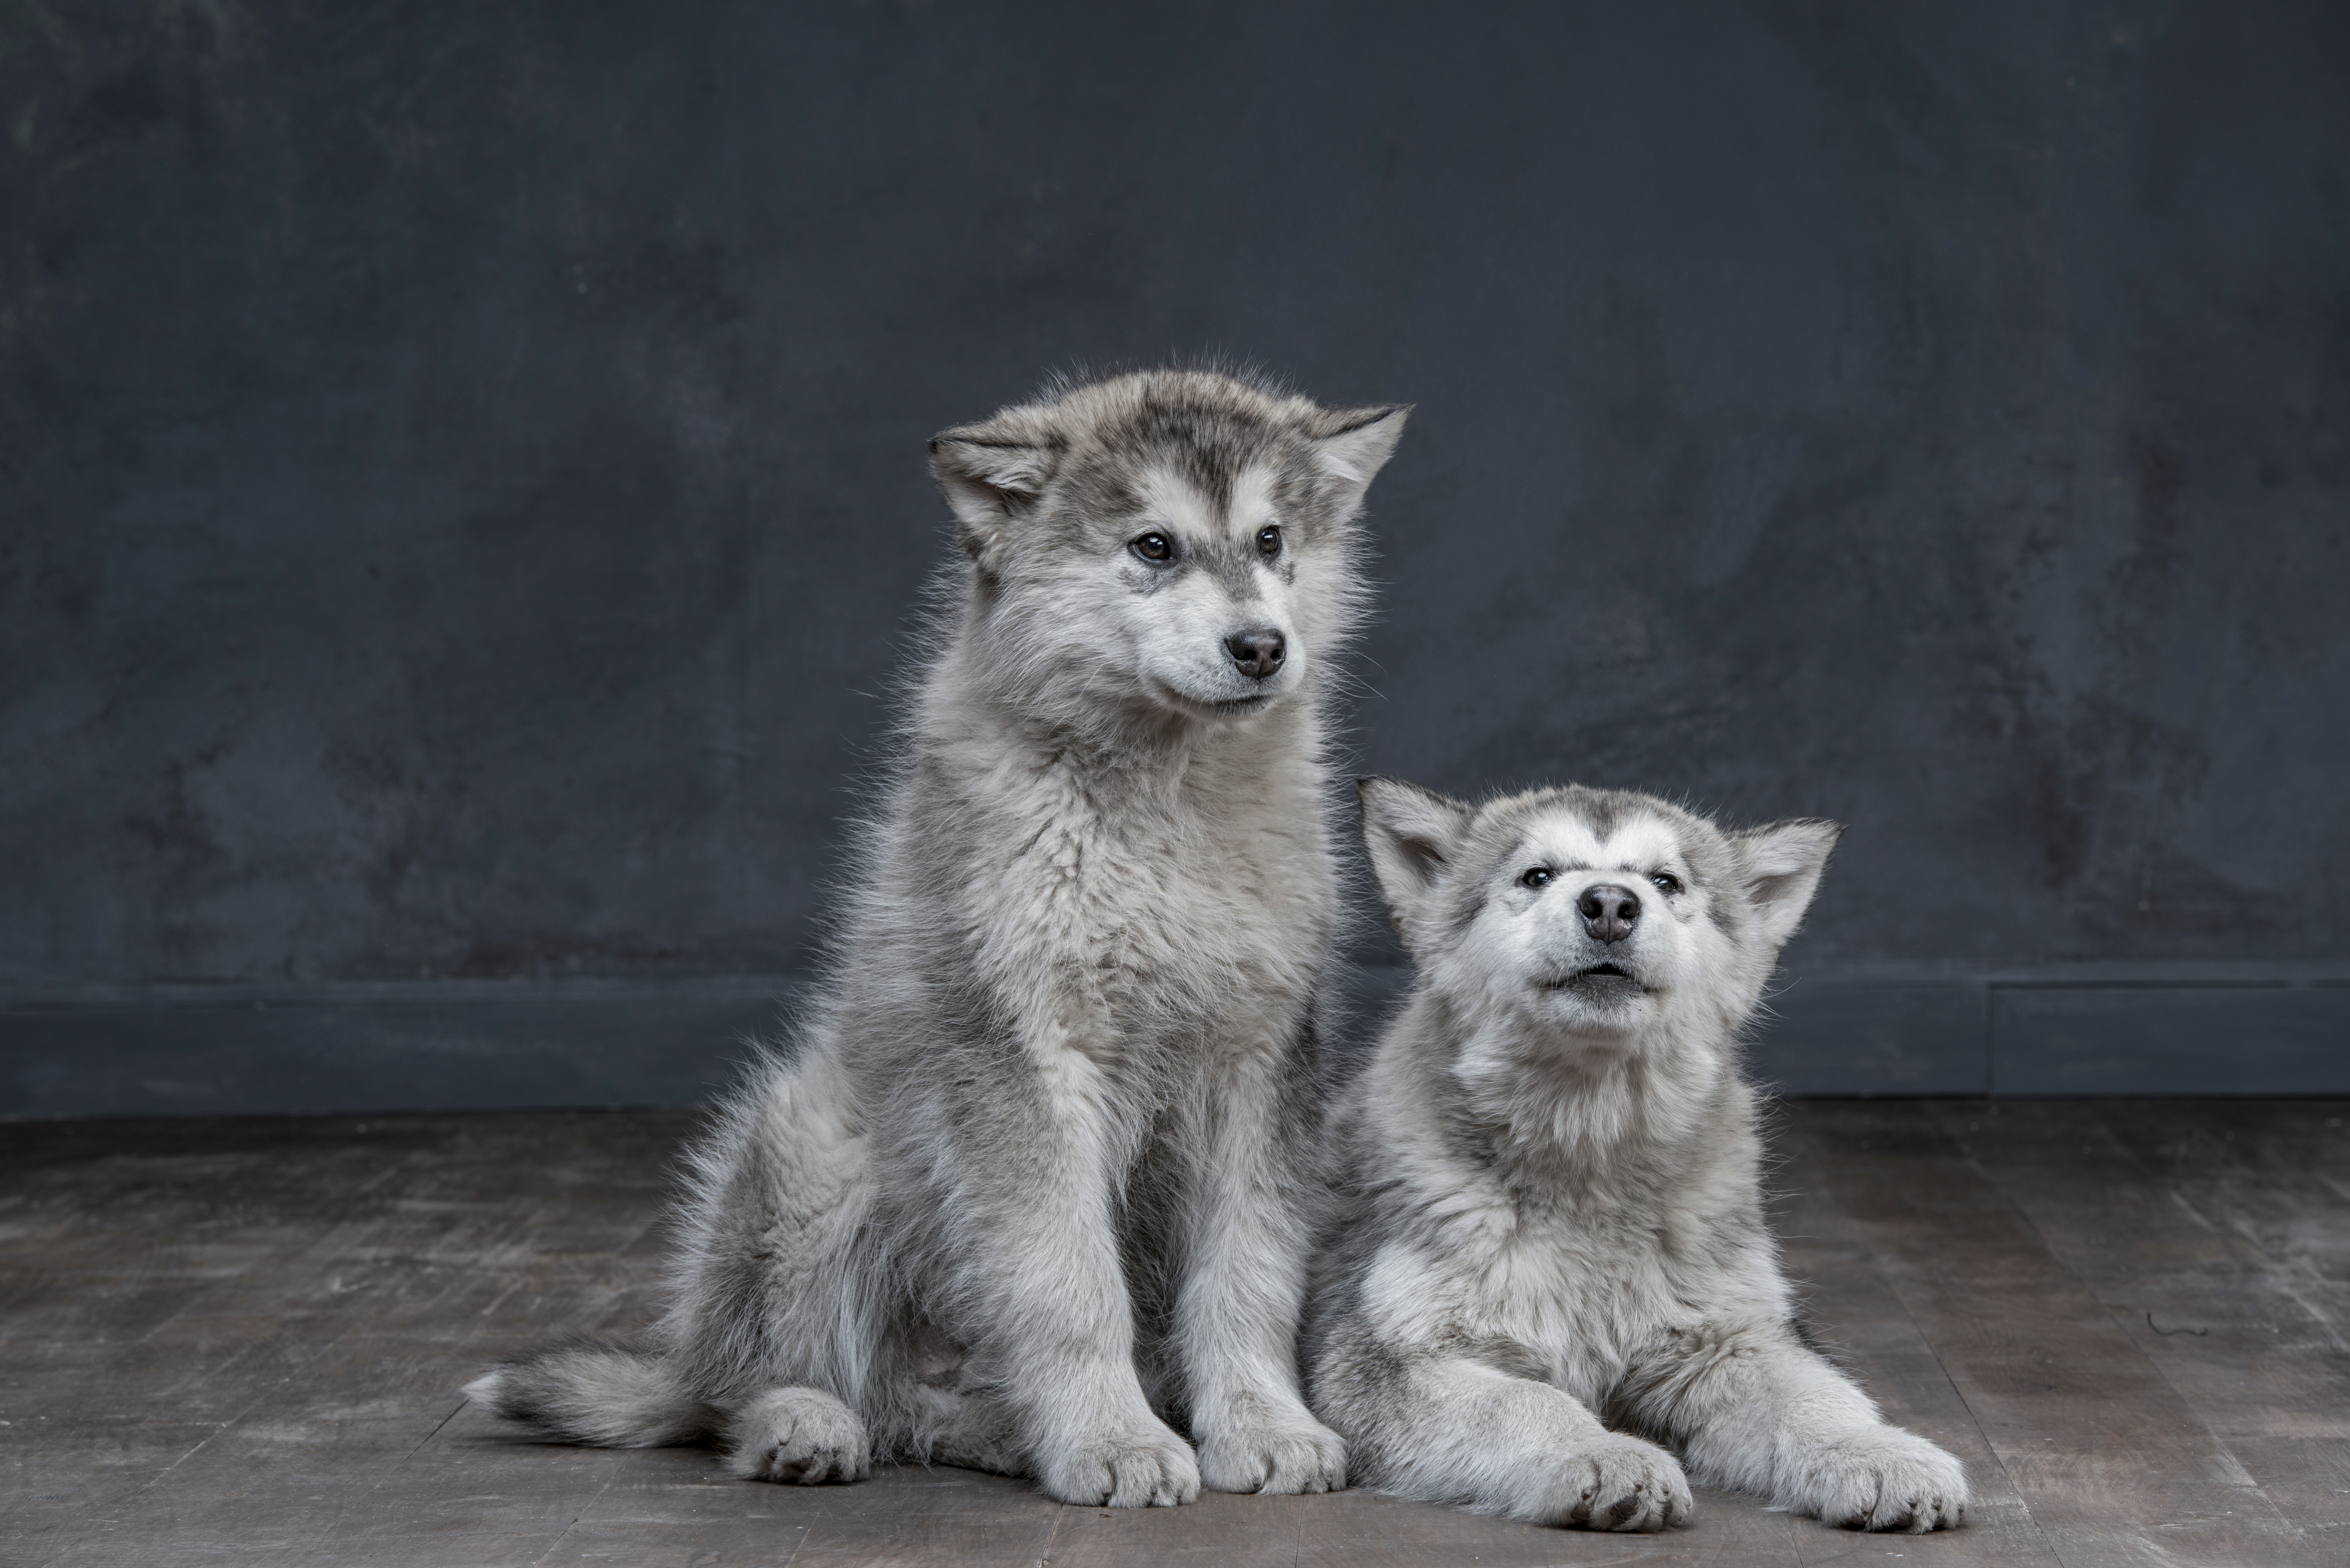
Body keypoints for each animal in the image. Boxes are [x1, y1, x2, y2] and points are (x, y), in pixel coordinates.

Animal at [1307, 780, 1964, 1542]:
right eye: (1537, 875)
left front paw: (1877, 1451)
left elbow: (1820, 1395)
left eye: (1665, 881)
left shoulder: (1730, 1339)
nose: (1610, 905)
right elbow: (1527, 1401)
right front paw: (1600, 1453)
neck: (1589, 1158)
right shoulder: (1383, 1356)